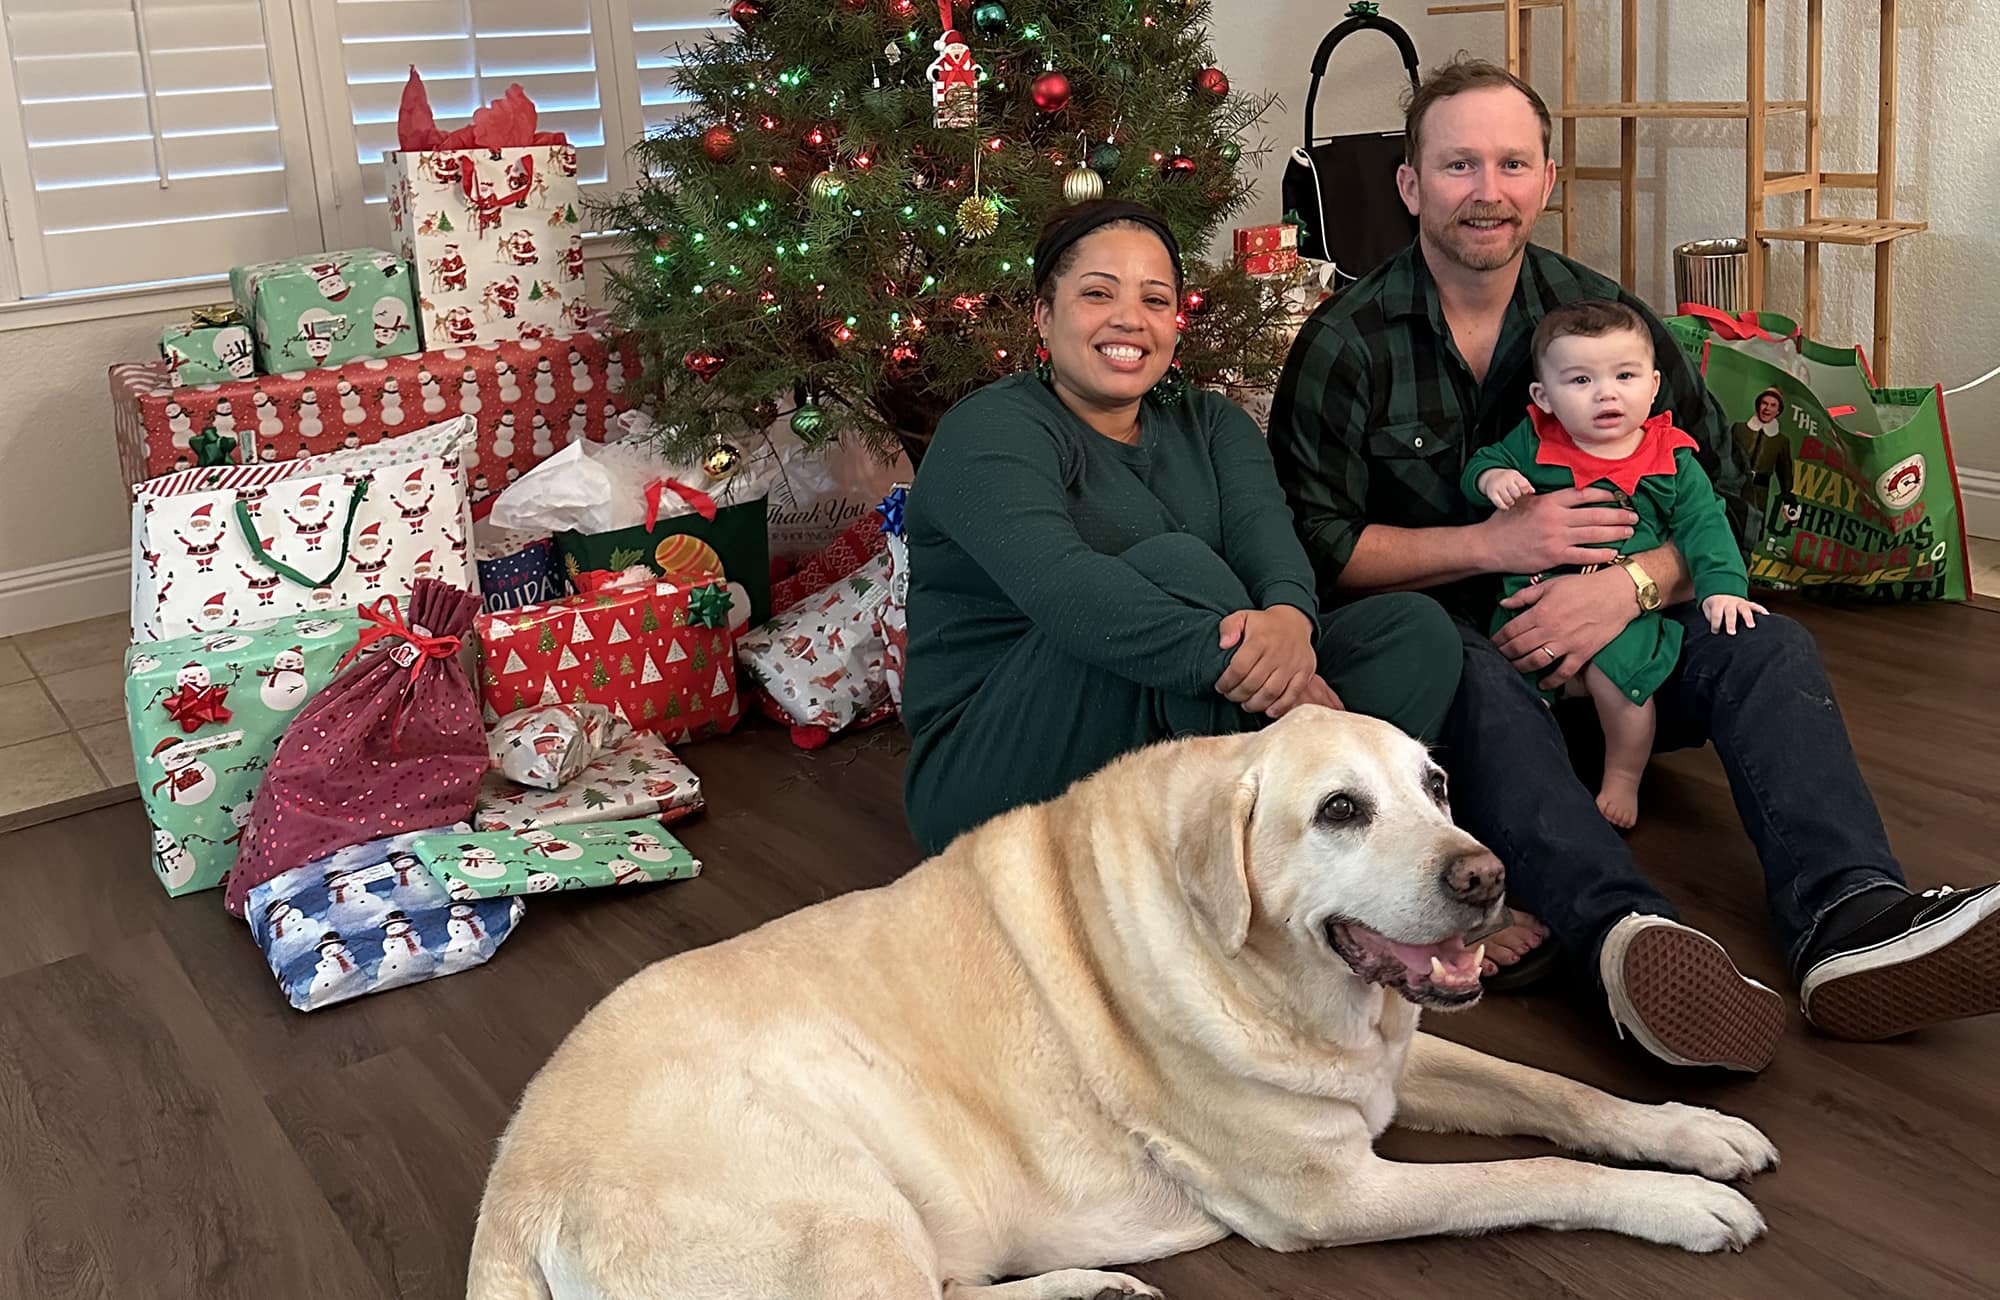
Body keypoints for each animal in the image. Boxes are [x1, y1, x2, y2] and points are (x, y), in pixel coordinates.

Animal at [472, 708, 1784, 1296]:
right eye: (1339, 810)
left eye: (1437, 784)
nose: (1487, 878)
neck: (1275, 980)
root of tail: (512, 1187)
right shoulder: (1333, 1193)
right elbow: (1529, 1174)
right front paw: (1677, 1205)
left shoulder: (1396, 1063)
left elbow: (1557, 1093)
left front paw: (1691, 1132)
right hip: (836, 1212)